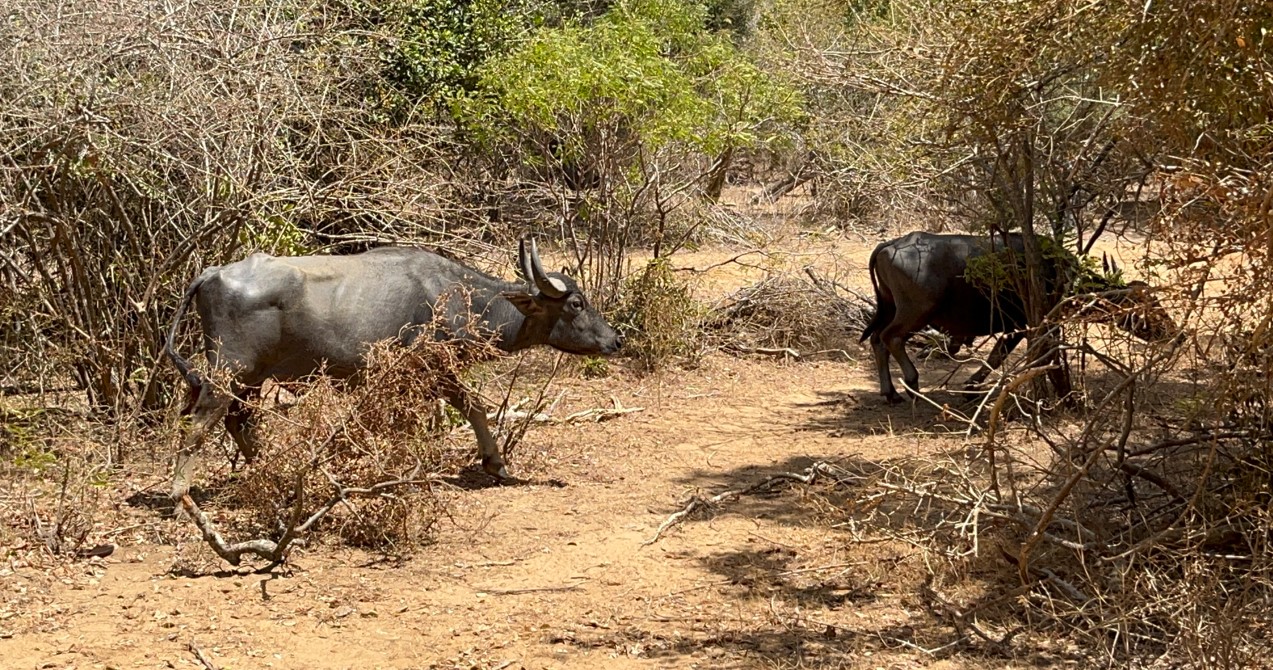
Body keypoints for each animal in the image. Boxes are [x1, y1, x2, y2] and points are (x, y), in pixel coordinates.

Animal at [166, 240, 623, 499]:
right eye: (576, 303)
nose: (615, 339)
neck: (459, 297)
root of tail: (212, 273)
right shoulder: (430, 368)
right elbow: (465, 408)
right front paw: (490, 462)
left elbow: (466, 408)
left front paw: (494, 463)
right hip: (229, 372)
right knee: (204, 420)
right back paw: (180, 491)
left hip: (252, 380)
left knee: (239, 422)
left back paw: (270, 471)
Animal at [860, 233, 1176, 405]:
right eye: (1143, 304)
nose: (1175, 333)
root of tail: (891, 245)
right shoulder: (1026, 324)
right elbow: (1004, 355)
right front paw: (972, 387)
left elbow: (999, 355)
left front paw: (972, 387)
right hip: (915, 312)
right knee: (891, 337)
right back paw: (912, 384)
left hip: (890, 308)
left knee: (877, 339)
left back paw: (890, 392)